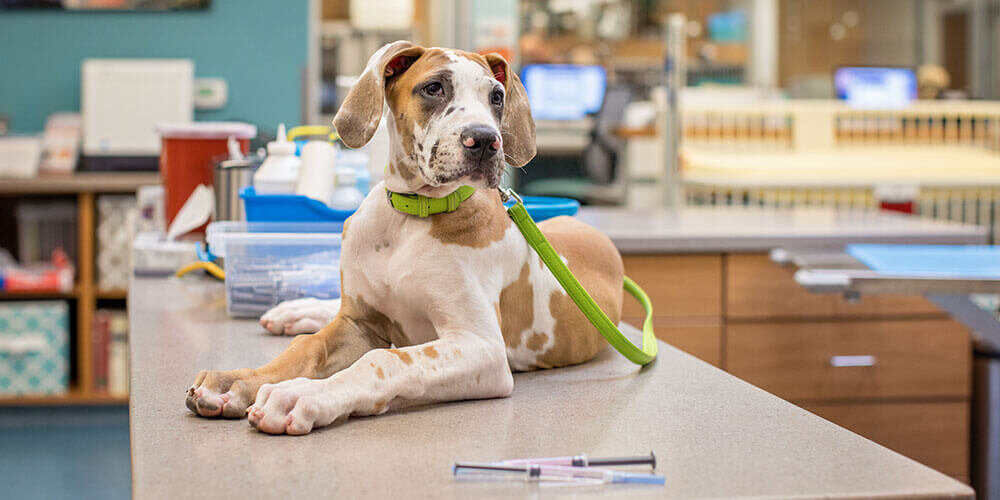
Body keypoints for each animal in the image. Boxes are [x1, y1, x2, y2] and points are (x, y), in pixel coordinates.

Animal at [184, 42, 620, 434]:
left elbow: (384, 361)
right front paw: (236, 380)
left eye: (496, 97)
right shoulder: (358, 324)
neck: (412, 217)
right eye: (434, 88)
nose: (484, 140)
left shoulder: (482, 348)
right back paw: (297, 310)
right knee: (329, 313)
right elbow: (307, 347)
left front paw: (301, 394)